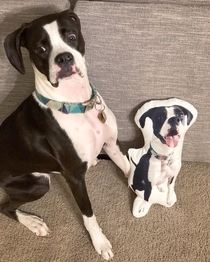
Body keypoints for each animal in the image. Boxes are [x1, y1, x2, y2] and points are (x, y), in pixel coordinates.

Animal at [1, 7, 130, 260]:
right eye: (41, 49)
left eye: (71, 36)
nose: (64, 58)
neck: (76, 104)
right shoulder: (74, 178)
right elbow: (88, 213)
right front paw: (100, 242)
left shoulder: (112, 145)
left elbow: (130, 170)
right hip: (38, 182)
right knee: (6, 207)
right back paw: (33, 223)